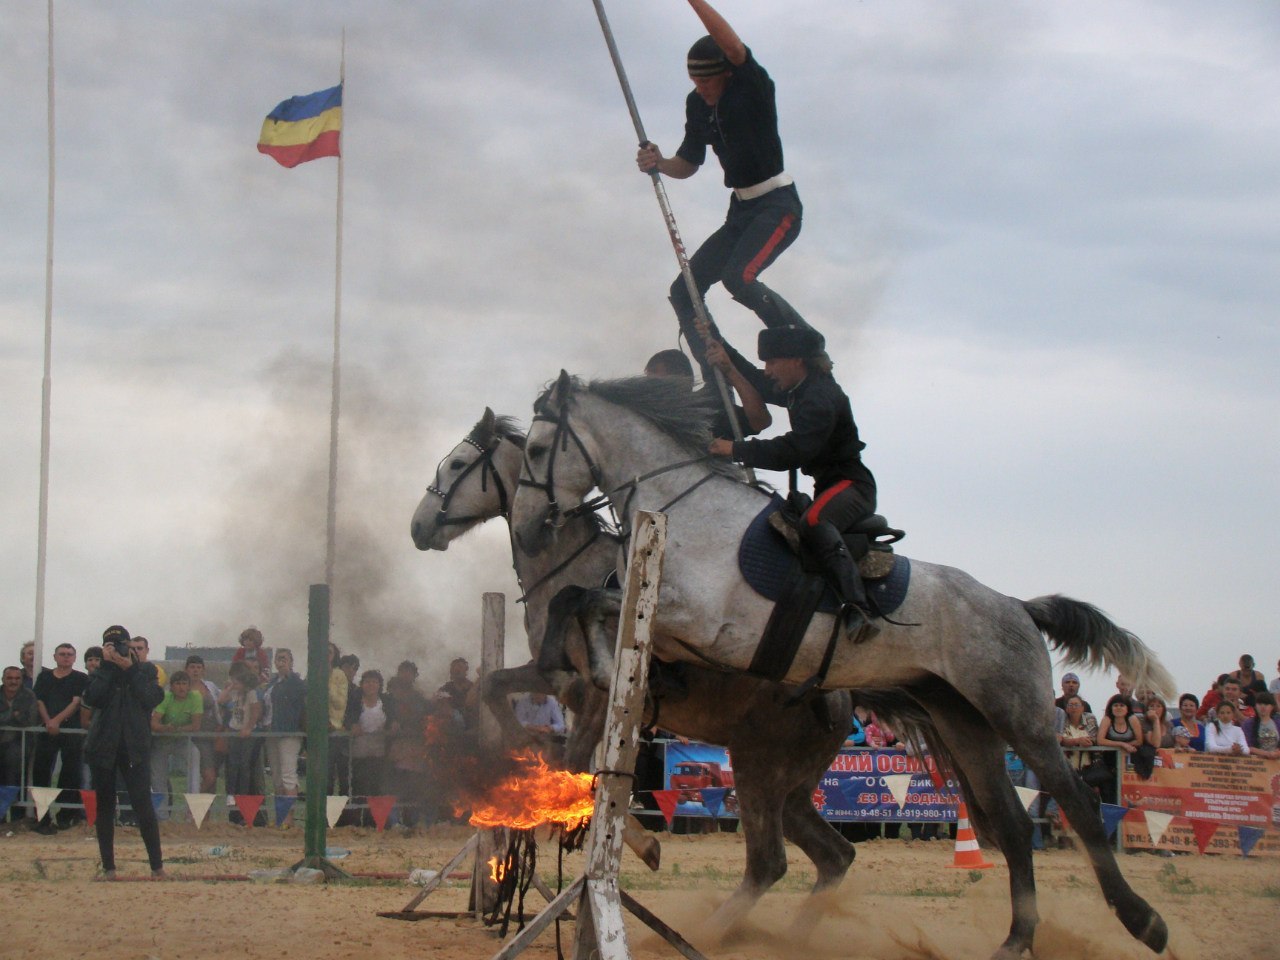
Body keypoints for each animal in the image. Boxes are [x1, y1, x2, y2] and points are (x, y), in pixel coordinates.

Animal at [407, 409, 849, 942]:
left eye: (457, 464)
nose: (419, 526)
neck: (567, 570)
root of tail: (843, 696)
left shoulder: (594, 699)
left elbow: (579, 771)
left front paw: (640, 842)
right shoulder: (554, 679)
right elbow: (497, 689)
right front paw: (528, 753)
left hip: (758, 769)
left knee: (770, 863)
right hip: (794, 790)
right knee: (835, 855)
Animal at [512, 371, 1177, 957]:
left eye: (539, 449)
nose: (526, 528)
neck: (688, 512)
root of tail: (1016, 606)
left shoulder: (694, 621)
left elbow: (586, 602)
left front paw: (595, 669)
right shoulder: (666, 625)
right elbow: (580, 603)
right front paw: (587, 667)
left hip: (1019, 716)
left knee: (1079, 805)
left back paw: (1144, 922)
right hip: (963, 720)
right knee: (1013, 826)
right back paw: (1016, 940)